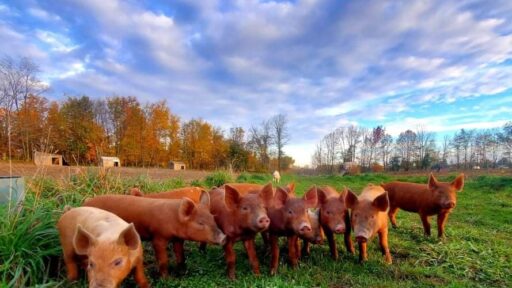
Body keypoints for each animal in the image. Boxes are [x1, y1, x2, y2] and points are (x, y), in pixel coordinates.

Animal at [83, 194, 225, 276]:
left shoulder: (178, 239)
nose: (224, 237)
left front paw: (183, 272)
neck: (174, 219)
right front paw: (166, 278)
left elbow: (181, 255)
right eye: (200, 223)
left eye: (213, 218)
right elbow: (163, 259)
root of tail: (86, 202)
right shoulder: (158, 237)